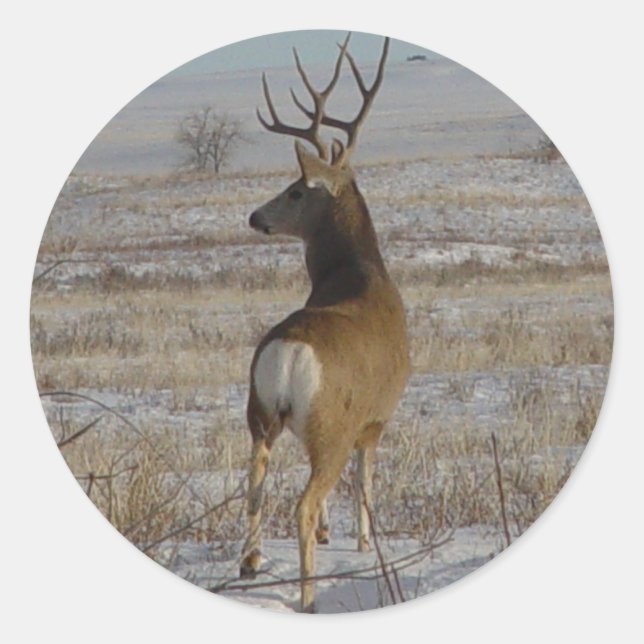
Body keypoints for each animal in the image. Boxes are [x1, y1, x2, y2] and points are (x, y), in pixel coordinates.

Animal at [239, 34, 410, 613]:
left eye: (295, 191)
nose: (255, 217)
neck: (359, 274)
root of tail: (289, 351)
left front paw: (332, 535)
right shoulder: (375, 418)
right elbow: (366, 480)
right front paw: (360, 540)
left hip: (259, 412)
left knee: (255, 482)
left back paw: (250, 563)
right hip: (330, 424)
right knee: (304, 500)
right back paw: (308, 595)